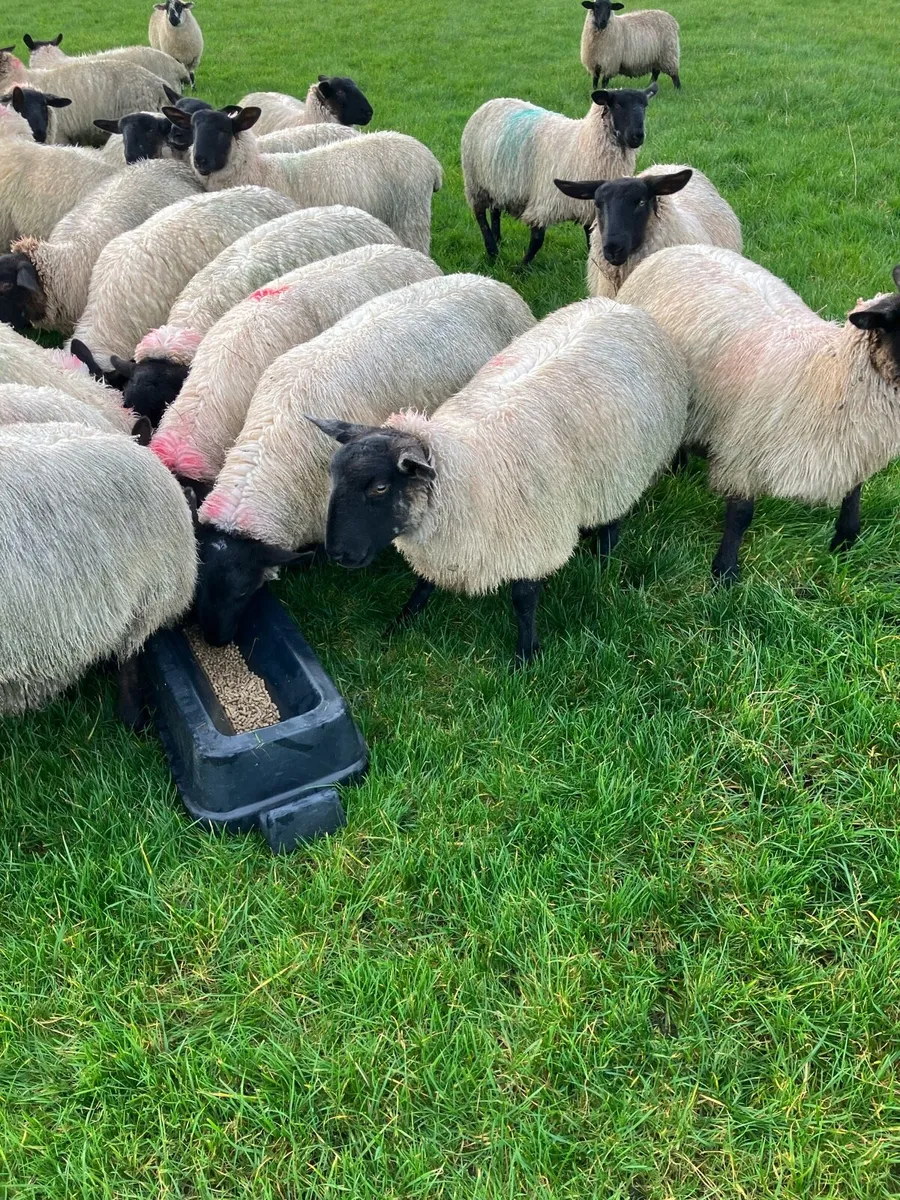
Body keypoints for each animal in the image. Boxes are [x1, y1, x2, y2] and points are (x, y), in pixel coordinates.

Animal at [169, 106, 442, 254]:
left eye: (223, 130)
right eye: (193, 128)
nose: (200, 160)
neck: (259, 170)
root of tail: (431, 161)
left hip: (411, 218)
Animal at [318, 297, 689, 664]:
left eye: (379, 487)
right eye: (332, 475)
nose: (336, 554)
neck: (468, 471)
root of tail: (620, 306)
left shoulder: (532, 539)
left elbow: (523, 599)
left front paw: (525, 655)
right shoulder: (445, 547)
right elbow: (424, 583)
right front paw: (401, 622)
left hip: (622, 469)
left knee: (613, 518)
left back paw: (603, 560)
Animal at [461, 84, 657, 264]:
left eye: (645, 106)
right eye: (616, 105)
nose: (637, 136)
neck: (584, 144)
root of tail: (494, 101)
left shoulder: (588, 205)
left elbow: (589, 239)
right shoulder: (544, 200)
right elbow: (537, 240)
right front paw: (521, 268)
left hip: (496, 181)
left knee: (495, 210)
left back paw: (498, 239)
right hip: (475, 182)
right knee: (480, 214)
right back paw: (492, 250)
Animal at [617, 246, 900, 582]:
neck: (827, 374)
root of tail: (677, 248)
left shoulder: (854, 446)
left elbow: (853, 496)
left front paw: (844, 542)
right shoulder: (743, 449)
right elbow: (740, 515)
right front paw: (725, 572)